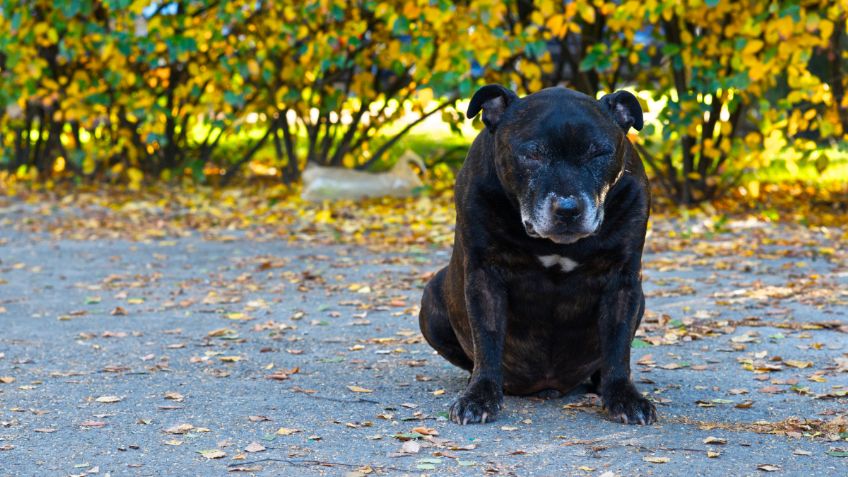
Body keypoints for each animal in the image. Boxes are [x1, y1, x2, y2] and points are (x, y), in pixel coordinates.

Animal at [420, 84, 656, 424]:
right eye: (532, 154)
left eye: (599, 153)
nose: (568, 209)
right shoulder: (484, 276)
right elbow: (487, 338)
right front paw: (480, 395)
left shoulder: (623, 281)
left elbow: (618, 344)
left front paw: (624, 396)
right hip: (431, 298)